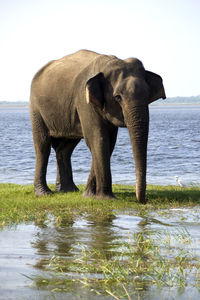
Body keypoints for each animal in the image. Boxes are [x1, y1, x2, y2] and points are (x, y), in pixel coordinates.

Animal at [29, 49, 165, 204]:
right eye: (118, 97)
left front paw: (89, 195)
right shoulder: (84, 100)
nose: (143, 200)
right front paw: (106, 198)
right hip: (36, 107)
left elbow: (108, 143)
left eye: (148, 95)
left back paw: (68, 190)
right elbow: (98, 139)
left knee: (65, 148)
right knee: (43, 145)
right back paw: (44, 193)